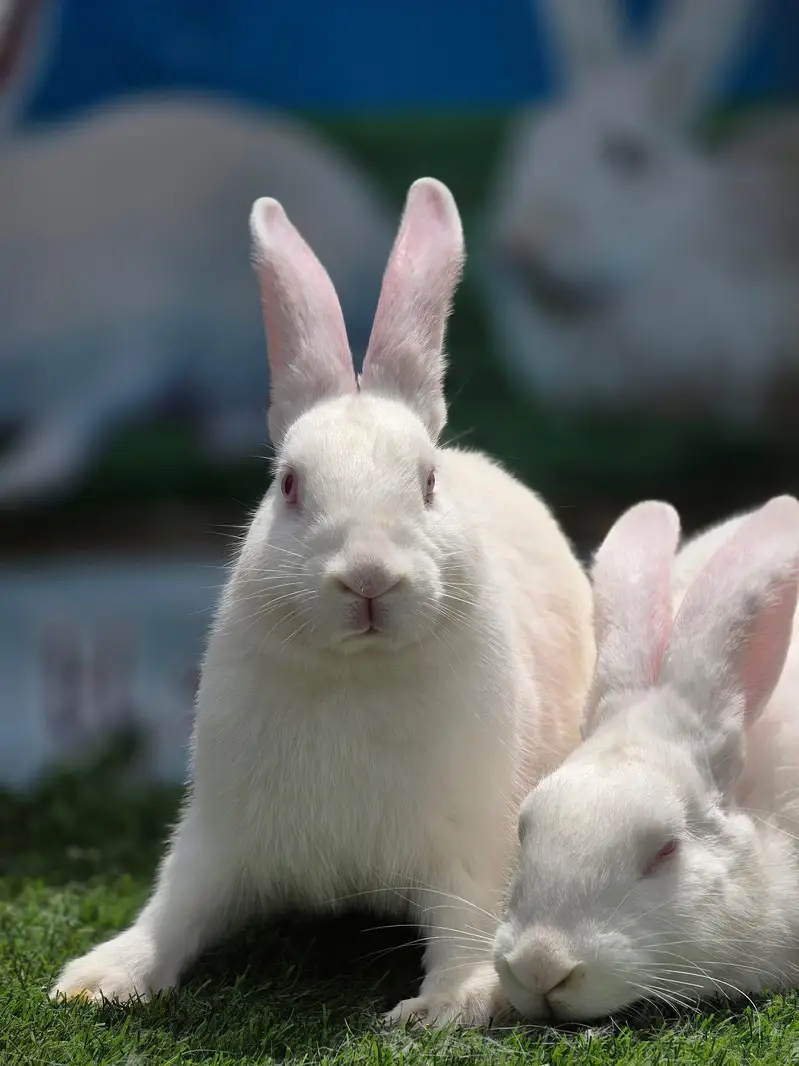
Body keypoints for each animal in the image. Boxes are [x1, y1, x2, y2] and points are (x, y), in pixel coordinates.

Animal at [49, 176, 595, 1028]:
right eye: (288, 484)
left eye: (428, 481)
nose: (368, 576)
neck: (356, 676)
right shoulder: (218, 835)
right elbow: (173, 910)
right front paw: (100, 979)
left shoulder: (470, 844)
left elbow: (465, 925)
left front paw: (441, 1007)